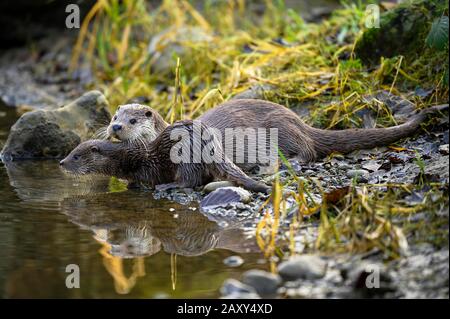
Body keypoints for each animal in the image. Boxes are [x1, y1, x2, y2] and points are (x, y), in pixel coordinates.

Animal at [60, 120, 270, 194]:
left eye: (76, 156)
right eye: (71, 152)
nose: (61, 162)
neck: (124, 157)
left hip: (186, 157)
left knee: (188, 180)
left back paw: (167, 186)